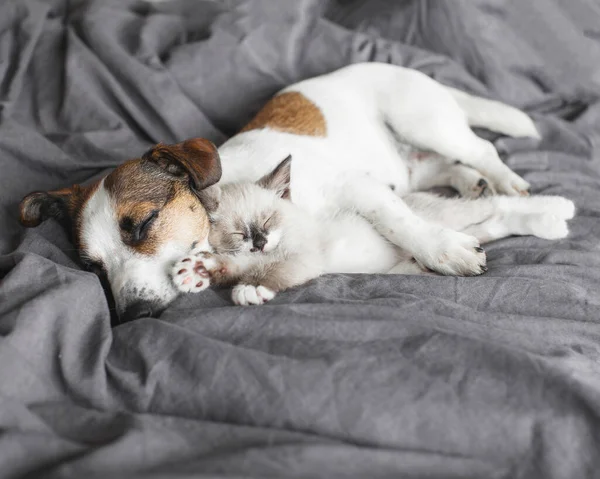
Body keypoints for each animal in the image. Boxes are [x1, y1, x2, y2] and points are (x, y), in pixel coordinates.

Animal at [17, 62, 572, 320]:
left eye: (143, 224)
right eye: (91, 266)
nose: (131, 316)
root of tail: (398, 67)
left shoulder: (356, 185)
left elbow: (400, 221)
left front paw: (443, 250)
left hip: (424, 120)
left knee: (479, 147)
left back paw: (503, 179)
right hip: (412, 160)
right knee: (440, 168)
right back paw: (470, 183)